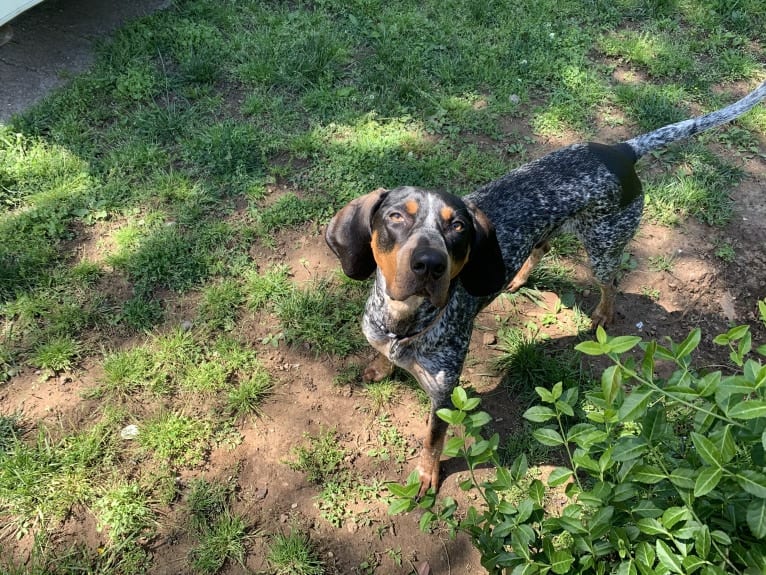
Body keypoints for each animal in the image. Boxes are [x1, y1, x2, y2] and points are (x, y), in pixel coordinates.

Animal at [328, 79, 766, 498]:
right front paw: (380, 367)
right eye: (396, 217)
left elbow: (432, 442)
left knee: (610, 282)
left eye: (458, 227)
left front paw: (426, 475)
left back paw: (602, 314)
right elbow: (381, 356)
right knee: (544, 246)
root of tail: (620, 150)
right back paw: (518, 277)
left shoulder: (444, 396)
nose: (430, 264)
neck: (404, 323)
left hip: (603, 248)